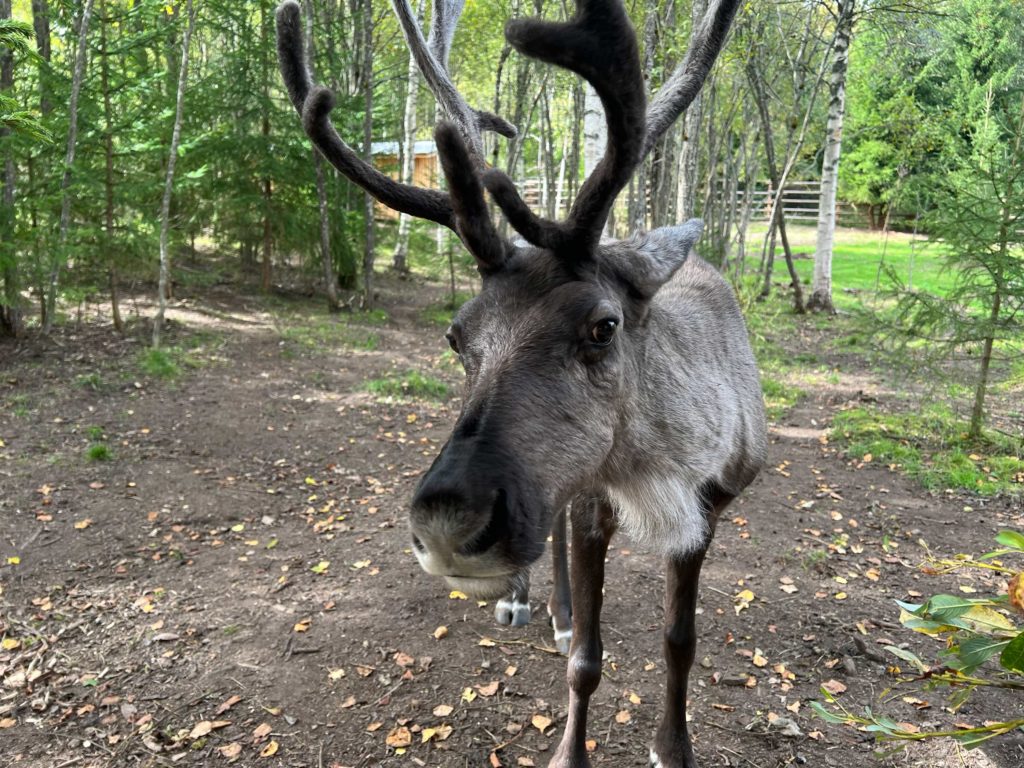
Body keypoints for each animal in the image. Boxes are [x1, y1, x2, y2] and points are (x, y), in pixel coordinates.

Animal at [276, 1, 764, 766]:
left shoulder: (711, 507)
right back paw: (531, 601)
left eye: (603, 325)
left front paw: (673, 745)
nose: (447, 522)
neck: (661, 468)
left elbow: (680, 641)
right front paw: (569, 752)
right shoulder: (595, 498)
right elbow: (588, 658)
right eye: (456, 337)